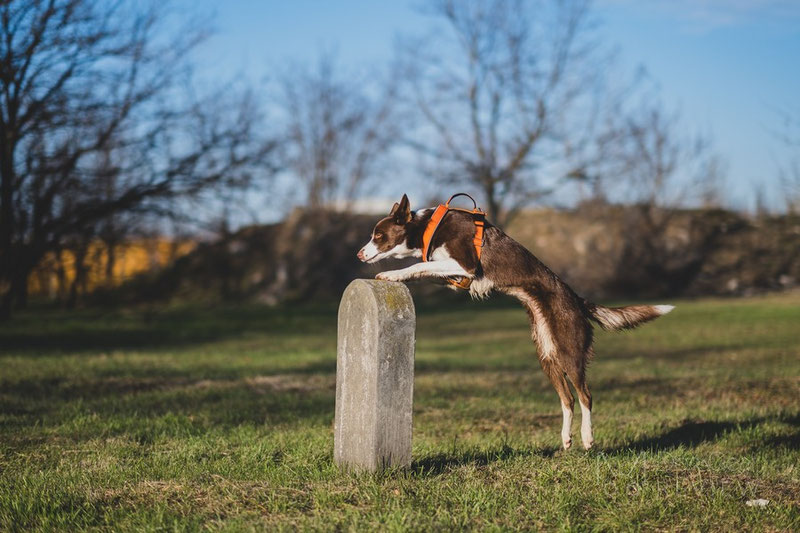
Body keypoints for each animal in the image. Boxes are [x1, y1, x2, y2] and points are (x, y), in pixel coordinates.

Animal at [360, 193, 672, 450]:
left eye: (378, 235)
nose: (359, 253)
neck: (428, 228)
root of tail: (577, 299)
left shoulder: (465, 265)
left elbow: (419, 264)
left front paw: (392, 274)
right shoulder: (457, 277)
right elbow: (423, 268)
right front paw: (399, 277)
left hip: (570, 352)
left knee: (586, 396)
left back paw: (587, 437)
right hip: (547, 354)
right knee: (568, 398)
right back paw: (566, 438)